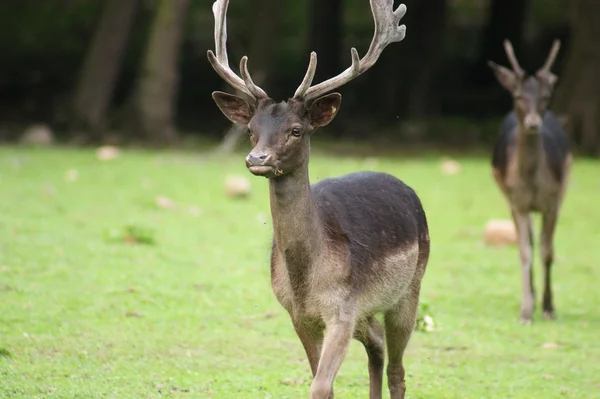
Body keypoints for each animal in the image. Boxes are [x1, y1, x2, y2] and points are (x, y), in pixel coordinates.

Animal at [207, 0, 432, 399]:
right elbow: (320, 382)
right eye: (250, 130)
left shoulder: (342, 308)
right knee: (376, 343)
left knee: (397, 368)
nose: (257, 158)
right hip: (368, 309)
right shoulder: (300, 315)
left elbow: (321, 385)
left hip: (409, 289)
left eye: (296, 130)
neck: (307, 281)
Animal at [488, 39, 572, 324]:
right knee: (531, 243)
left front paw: (549, 307)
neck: (533, 184)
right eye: (518, 96)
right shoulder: (517, 203)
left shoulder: (553, 202)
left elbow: (548, 251)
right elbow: (524, 251)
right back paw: (532, 296)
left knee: (541, 245)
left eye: (545, 97)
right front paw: (526, 311)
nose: (534, 123)